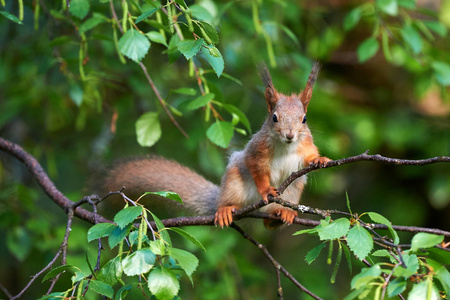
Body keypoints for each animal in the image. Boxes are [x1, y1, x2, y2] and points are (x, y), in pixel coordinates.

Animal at [99, 62, 330, 227]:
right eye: (274, 118)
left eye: (304, 119)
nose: (290, 135)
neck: (286, 146)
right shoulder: (257, 150)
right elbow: (256, 168)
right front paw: (266, 190)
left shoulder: (305, 145)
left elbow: (309, 156)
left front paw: (320, 159)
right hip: (234, 182)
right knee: (230, 200)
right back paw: (225, 209)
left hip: (293, 190)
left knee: (270, 221)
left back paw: (284, 213)